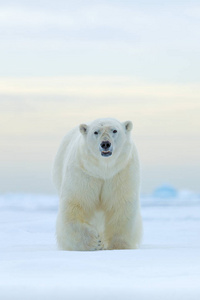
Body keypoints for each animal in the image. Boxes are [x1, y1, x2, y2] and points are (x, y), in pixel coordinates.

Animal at [52, 117, 141, 251]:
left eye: (114, 130)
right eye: (95, 132)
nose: (105, 144)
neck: (103, 170)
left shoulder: (120, 173)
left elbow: (121, 205)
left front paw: (118, 246)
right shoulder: (85, 174)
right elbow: (75, 204)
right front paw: (95, 242)